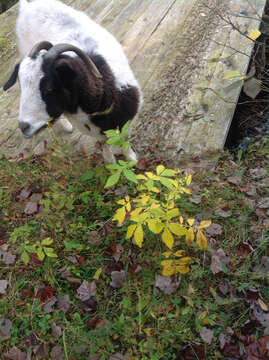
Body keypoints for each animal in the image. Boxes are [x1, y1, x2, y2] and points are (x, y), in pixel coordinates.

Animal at [3, 0, 141, 162]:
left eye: (49, 87)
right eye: (22, 85)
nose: (24, 126)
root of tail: (27, 6)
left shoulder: (124, 119)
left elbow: (123, 137)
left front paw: (131, 158)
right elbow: (103, 143)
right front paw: (110, 161)